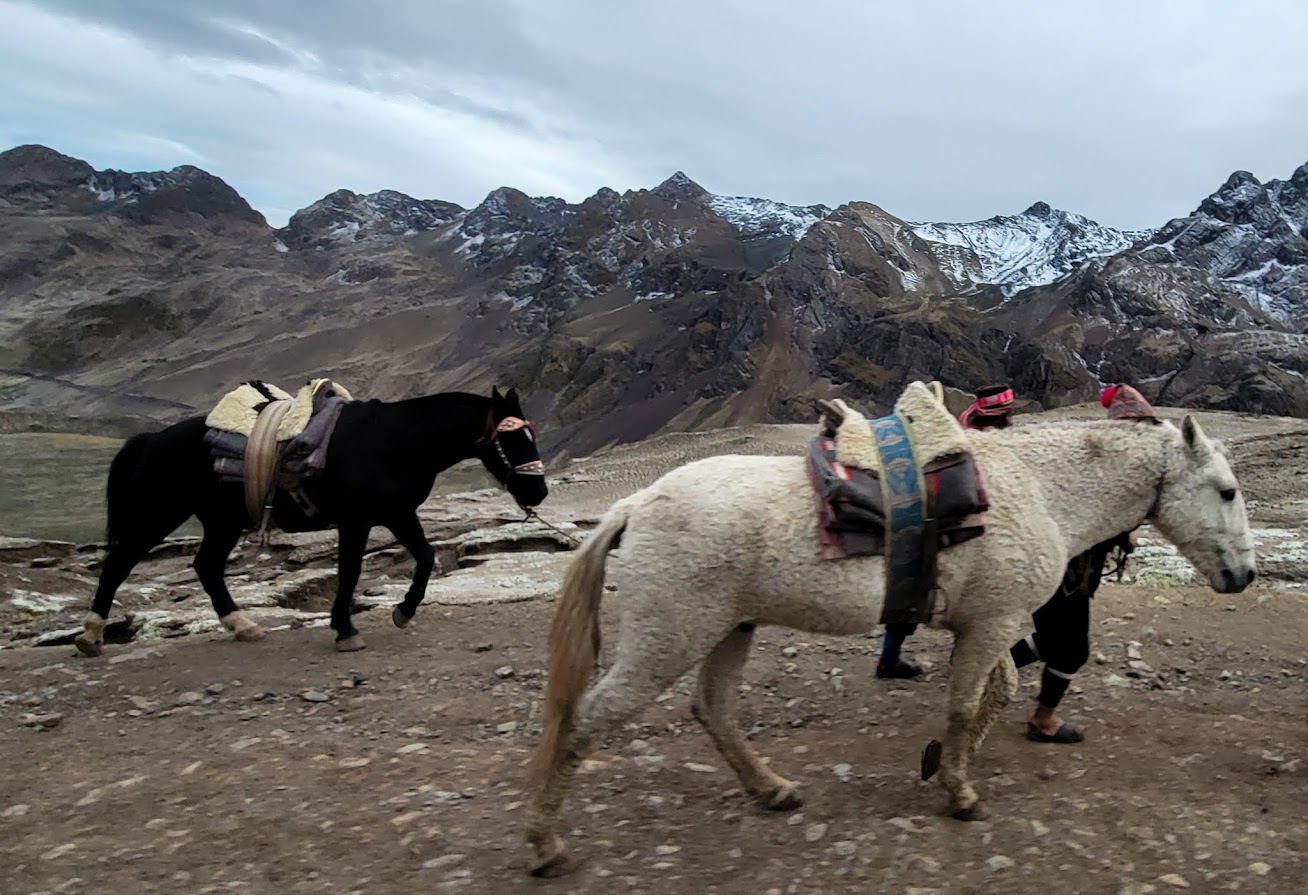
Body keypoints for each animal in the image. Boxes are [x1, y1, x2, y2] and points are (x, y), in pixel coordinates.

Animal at [76, 387, 546, 656]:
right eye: (511, 438)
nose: (538, 493)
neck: (397, 441)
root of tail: (150, 439)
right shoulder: (357, 519)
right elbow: (350, 570)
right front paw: (345, 630)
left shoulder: (397, 513)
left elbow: (427, 557)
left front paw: (402, 611)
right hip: (158, 514)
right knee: (118, 564)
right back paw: (92, 637)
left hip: (221, 523)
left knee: (206, 566)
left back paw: (243, 626)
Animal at [523, 384, 1255, 874]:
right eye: (1225, 490)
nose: (1244, 575)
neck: (1041, 488)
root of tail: (636, 502)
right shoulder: (992, 623)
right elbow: (965, 704)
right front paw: (960, 792)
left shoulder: (989, 623)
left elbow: (998, 693)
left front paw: (942, 764)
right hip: (667, 637)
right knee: (586, 719)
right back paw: (545, 843)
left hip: (730, 629)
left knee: (713, 709)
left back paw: (772, 790)